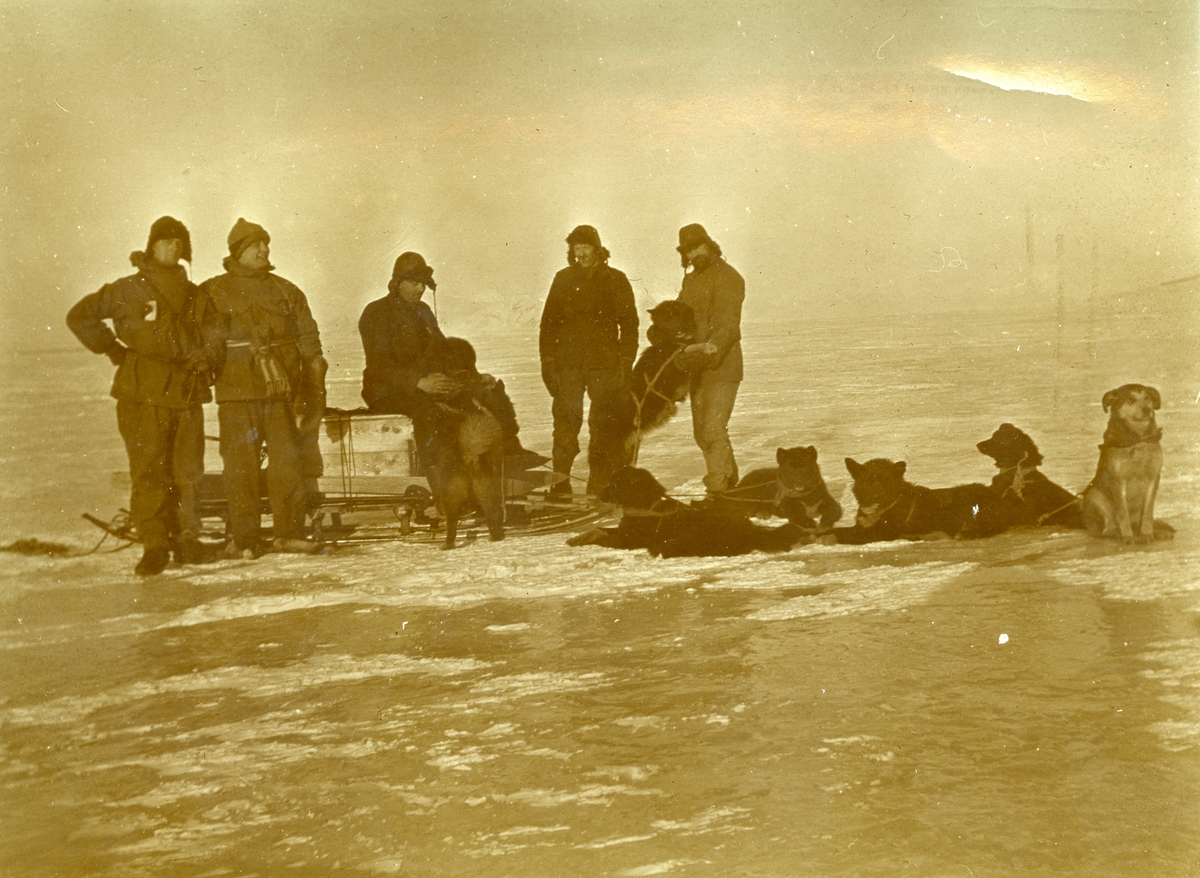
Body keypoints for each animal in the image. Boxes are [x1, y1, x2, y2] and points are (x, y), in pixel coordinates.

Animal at [564, 465, 806, 556]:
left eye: (614, 484)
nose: (598, 496)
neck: (647, 507)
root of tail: (749, 531)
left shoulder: (628, 541)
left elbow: (601, 535)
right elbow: (598, 530)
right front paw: (576, 538)